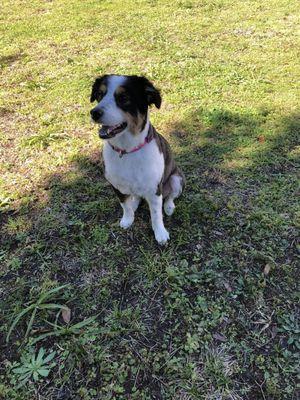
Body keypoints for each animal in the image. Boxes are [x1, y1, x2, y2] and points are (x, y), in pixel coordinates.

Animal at [90, 74, 185, 244]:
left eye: (124, 98)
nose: (94, 113)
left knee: (170, 196)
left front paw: (160, 233)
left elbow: (156, 215)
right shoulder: (116, 185)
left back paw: (169, 207)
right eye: (100, 95)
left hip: (176, 179)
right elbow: (125, 206)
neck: (127, 150)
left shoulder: (155, 190)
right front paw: (128, 219)